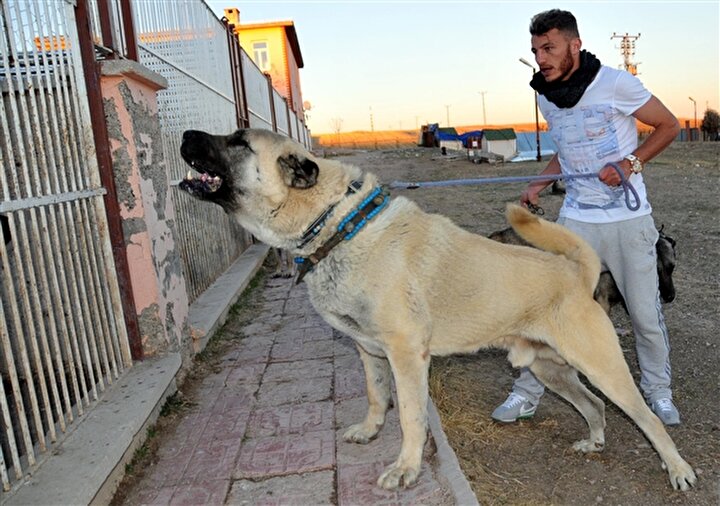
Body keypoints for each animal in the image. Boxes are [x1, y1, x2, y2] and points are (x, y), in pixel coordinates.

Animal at [177, 128, 696, 492]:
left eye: (239, 142)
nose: (184, 135)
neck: (338, 225)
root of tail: (576, 273)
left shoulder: (407, 355)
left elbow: (409, 415)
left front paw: (405, 469)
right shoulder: (369, 351)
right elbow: (376, 396)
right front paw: (371, 431)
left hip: (603, 369)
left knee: (646, 418)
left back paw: (678, 470)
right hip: (550, 370)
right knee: (593, 405)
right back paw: (595, 440)